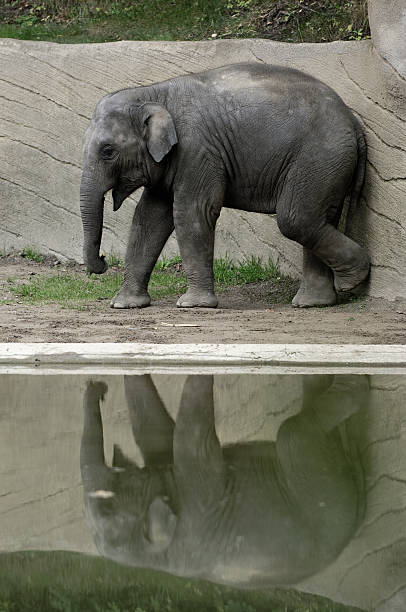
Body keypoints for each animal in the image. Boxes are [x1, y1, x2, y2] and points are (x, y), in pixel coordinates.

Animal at [79, 372, 368, 588]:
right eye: (108, 508)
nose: (101, 388)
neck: (154, 557)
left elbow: (153, 430)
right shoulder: (199, 502)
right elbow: (187, 436)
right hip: (326, 495)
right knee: (291, 432)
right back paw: (352, 383)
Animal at [80, 63, 372, 306]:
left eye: (108, 151)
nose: (103, 261)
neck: (153, 93)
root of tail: (355, 123)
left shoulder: (198, 150)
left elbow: (191, 212)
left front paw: (193, 305)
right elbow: (149, 217)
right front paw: (125, 305)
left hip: (319, 157)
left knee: (297, 219)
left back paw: (351, 280)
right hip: (328, 165)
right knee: (318, 218)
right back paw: (314, 302)